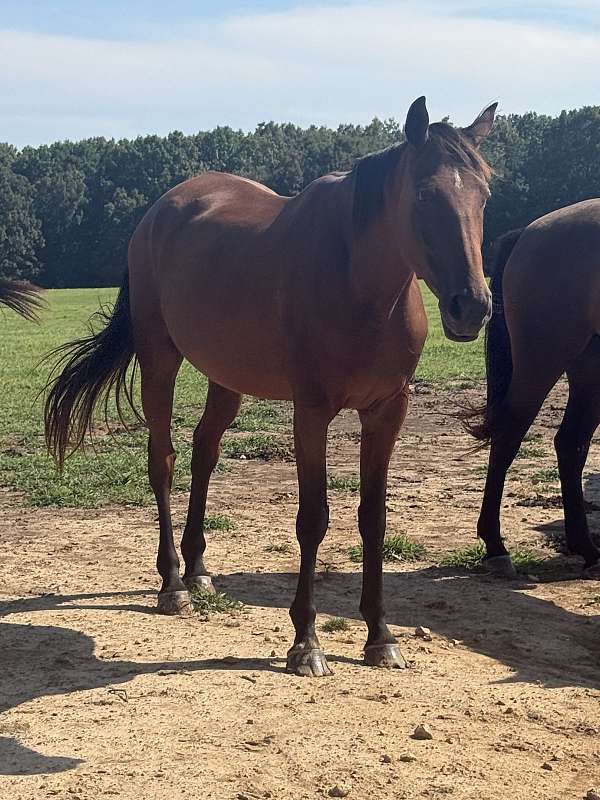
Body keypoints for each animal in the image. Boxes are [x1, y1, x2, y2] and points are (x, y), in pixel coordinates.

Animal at [44, 97, 497, 677]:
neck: (360, 284)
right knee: (163, 460)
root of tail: (158, 214)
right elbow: (313, 519)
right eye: (423, 193)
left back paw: (198, 568)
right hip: (160, 360)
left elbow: (373, 520)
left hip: (226, 378)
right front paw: (306, 642)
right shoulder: (312, 411)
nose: (472, 307)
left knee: (204, 452)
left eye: (484, 194)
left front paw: (380, 635)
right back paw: (173, 583)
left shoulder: (386, 410)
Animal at [465, 199, 600, 579]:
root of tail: (529, 231)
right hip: (542, 360)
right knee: (509, 436)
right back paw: (495, 547)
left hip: (589, 369)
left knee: (571, 443)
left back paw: (586, 548)